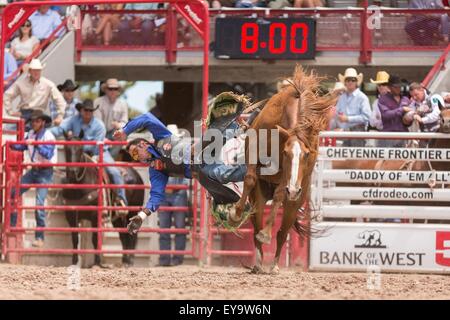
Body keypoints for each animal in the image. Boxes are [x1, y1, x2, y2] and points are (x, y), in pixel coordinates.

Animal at [230, 66, 336, 274]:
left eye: (306, 155)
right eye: (286, 153)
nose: (294, 190)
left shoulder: (288, 181)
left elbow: (280, 194)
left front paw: (266, 234)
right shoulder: (254, 151)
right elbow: (250, 178)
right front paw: (236, 214)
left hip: (294, 205)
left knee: (281, 232)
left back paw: (274, 264)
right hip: (259, 197)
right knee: (256, 224)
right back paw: (258, 263)